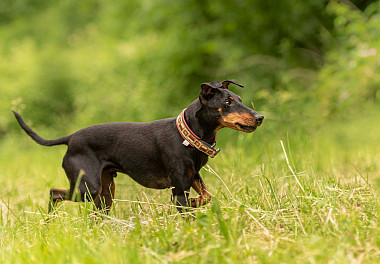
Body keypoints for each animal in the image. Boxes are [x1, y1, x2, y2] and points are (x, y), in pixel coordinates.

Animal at [14, 79, 264, 213]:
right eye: (227, 102)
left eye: (240, 99)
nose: (259, 117)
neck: (187, 135)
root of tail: (70, 138)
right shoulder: (179, 190)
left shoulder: (192, 177)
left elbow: (207, 196)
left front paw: (196, 202)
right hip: (87, 188)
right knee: (54, 193)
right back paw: (49, 221)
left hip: (105, 193)